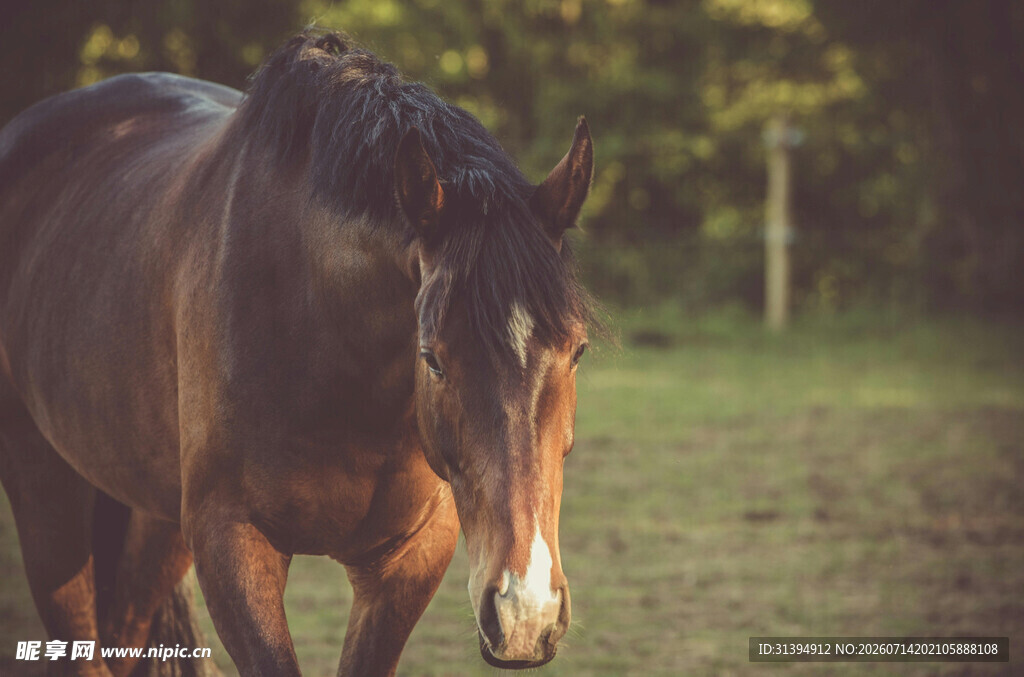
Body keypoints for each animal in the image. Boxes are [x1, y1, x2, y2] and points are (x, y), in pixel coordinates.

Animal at [0, 29, 596, 676]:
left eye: (577, 351)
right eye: (432, 357)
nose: (524, 612)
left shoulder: (408, 558)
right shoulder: (232, 545)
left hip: (155, 519)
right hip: (44, 487)